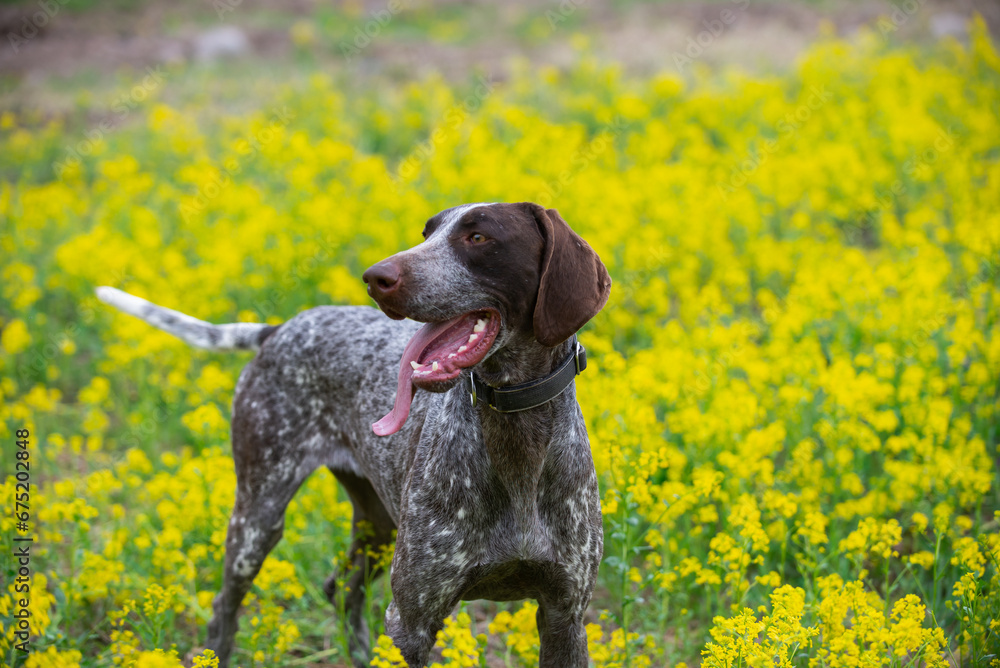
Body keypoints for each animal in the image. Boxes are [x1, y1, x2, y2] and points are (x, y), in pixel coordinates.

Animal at [95, 201, 608, 664]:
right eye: (426, 233)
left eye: (478, 237)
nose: (376, 277)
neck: (516, 433)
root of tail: (281, 328)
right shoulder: (412, 622)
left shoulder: (564, 617)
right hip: (257, 519)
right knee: (227, 603)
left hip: (377, 525)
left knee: (340, 588)